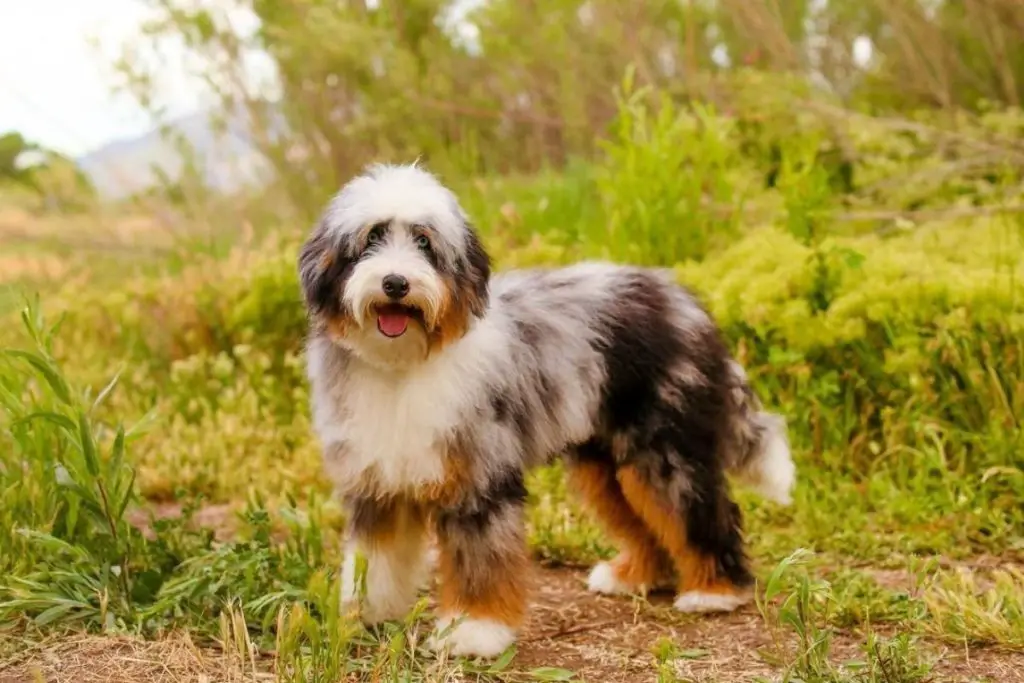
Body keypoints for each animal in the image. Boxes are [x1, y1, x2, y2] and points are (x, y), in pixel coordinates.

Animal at [296, 160, 798, 655]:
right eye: (371, 239)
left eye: (424, 242)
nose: (396, 283)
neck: (403, 366)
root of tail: (684, 301)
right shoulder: (377, 484)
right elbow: (374, 560)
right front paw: (364, 614)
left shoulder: (479, 480)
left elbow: (481, 561)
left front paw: (474, 630)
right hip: (605, 463)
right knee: (643, 520)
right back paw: (631, 576)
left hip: (664, 450)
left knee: (697, 511)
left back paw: (714, 591)